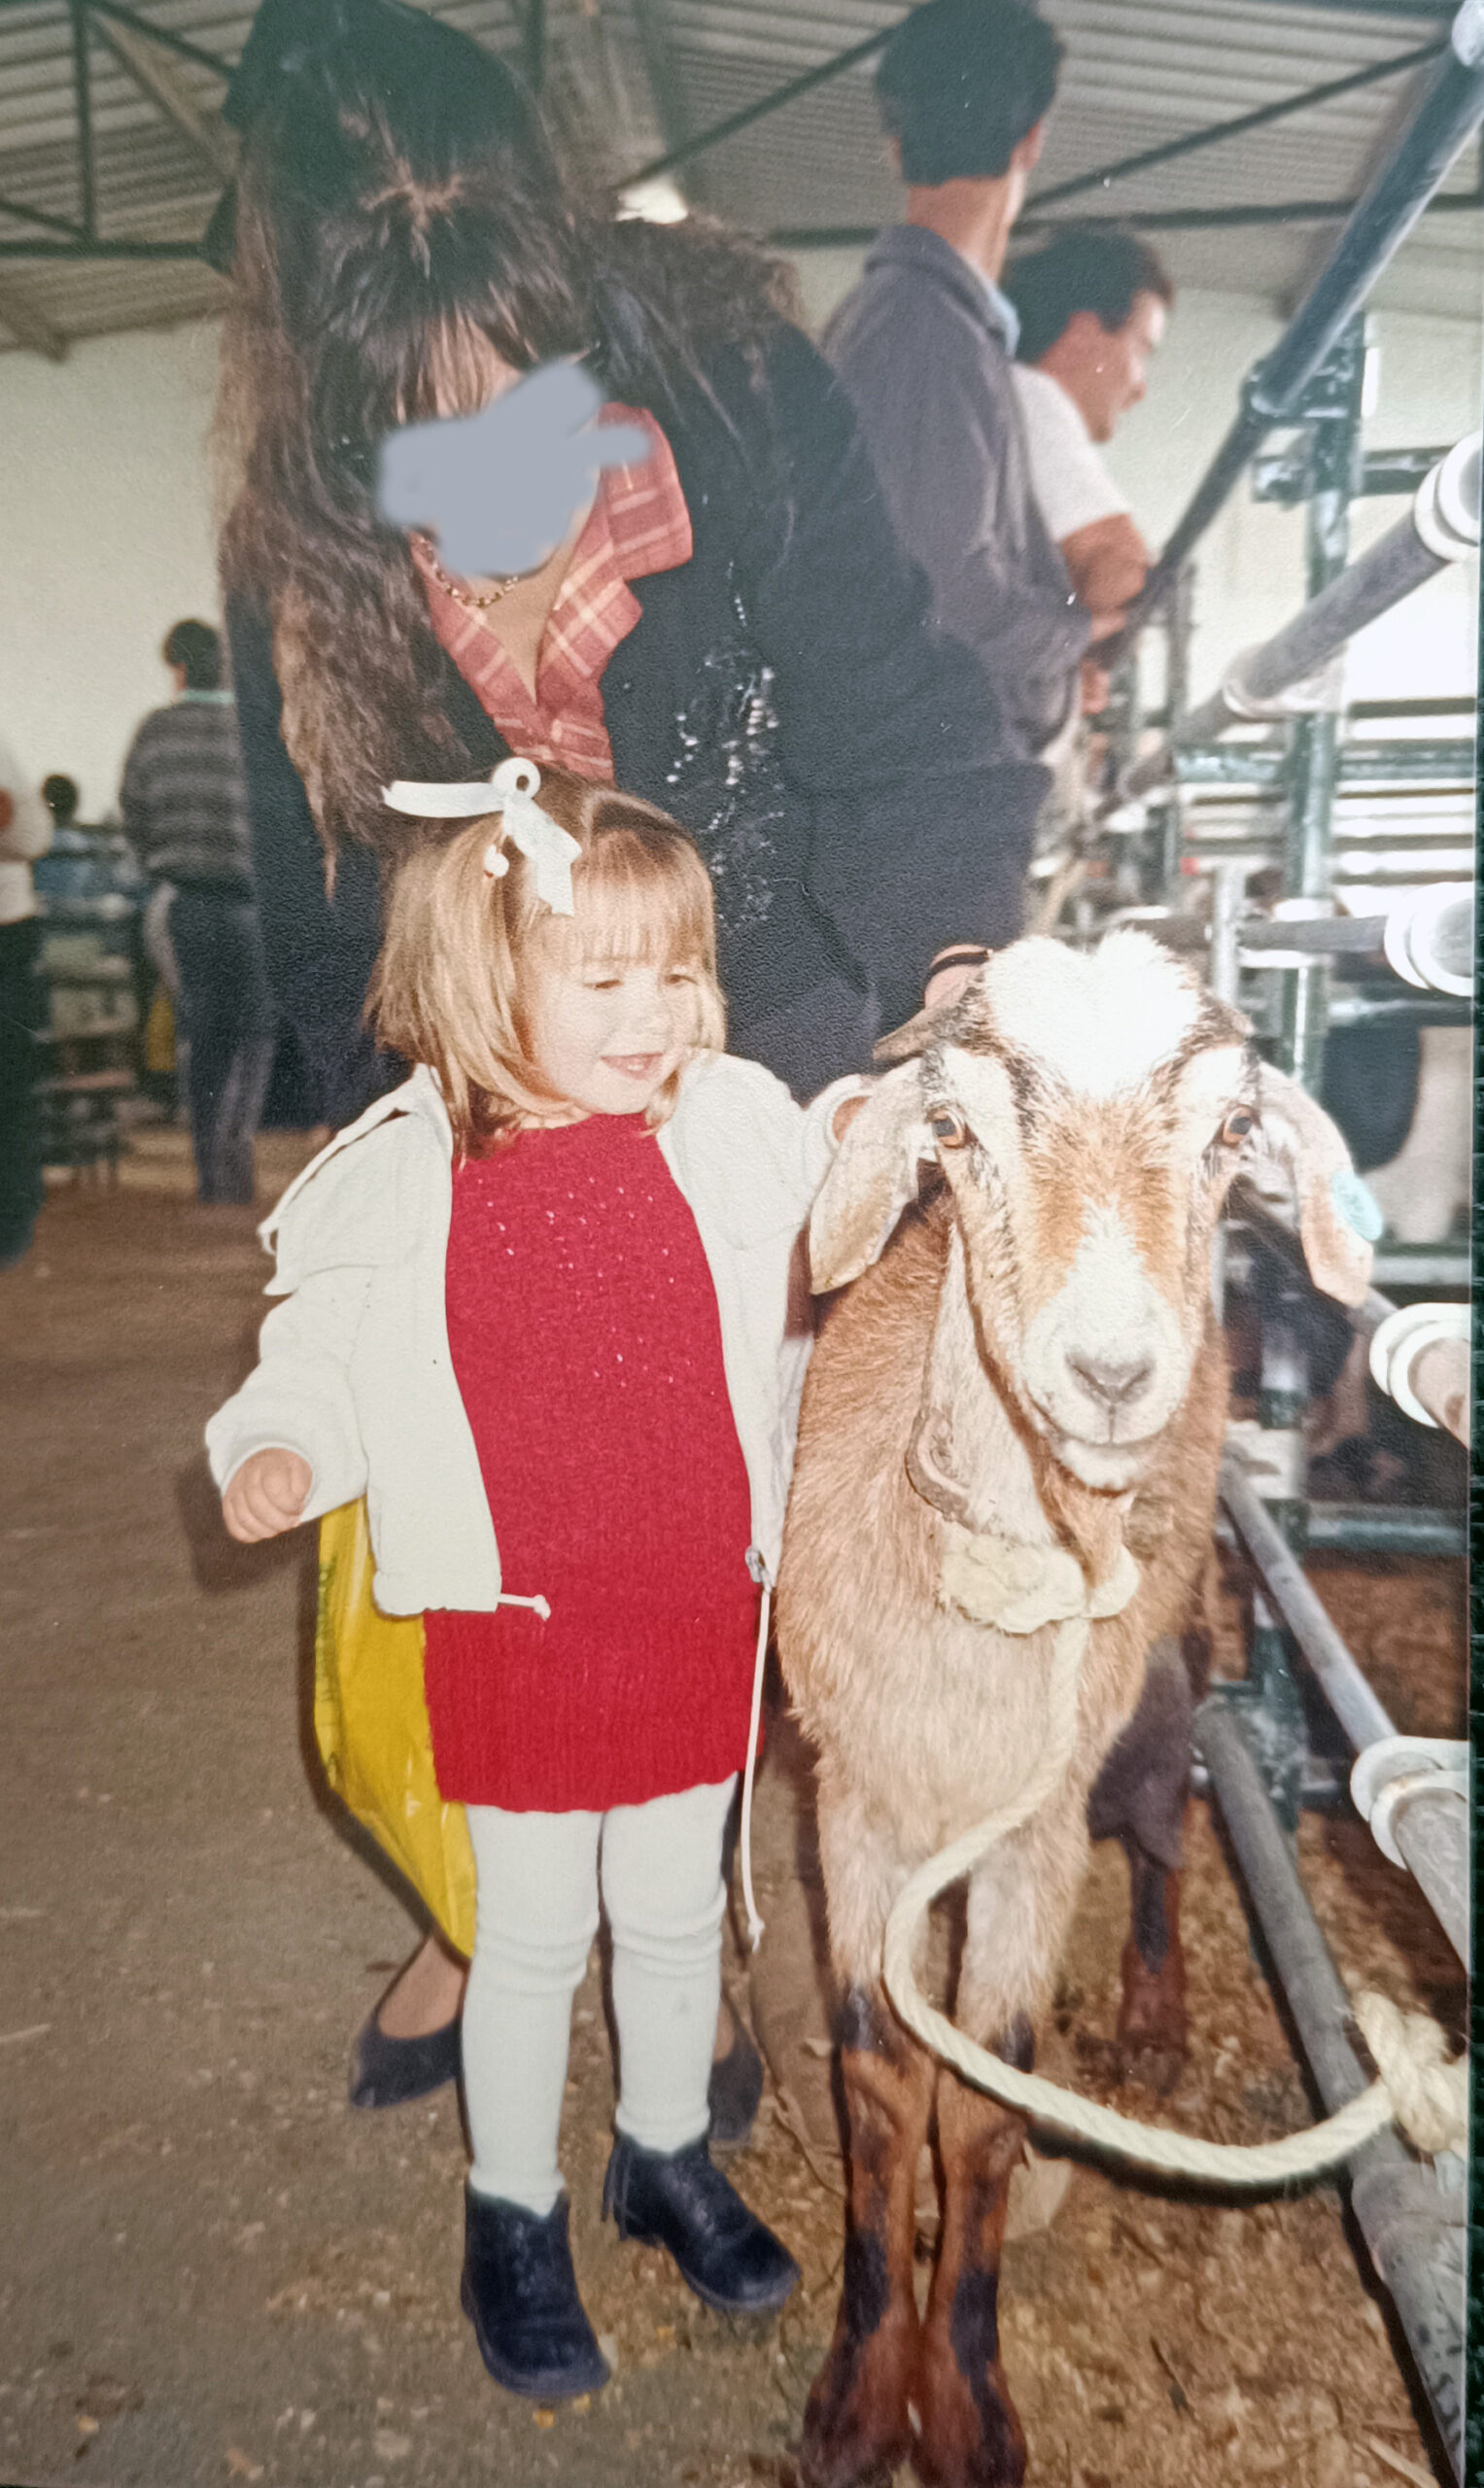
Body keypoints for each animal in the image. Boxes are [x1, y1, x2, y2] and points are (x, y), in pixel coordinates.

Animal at [777, 935, 1364, 2488]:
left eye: (1231, 1132)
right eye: (952, 1131)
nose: (1109, 1373)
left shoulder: (1031, 1840)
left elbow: (983, 2109)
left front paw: (964, 2402)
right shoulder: (856, 1803)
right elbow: (880, 2091)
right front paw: (858, 2394)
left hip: (1174, 1644)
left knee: (1164, 1818)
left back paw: (1153, 2006)